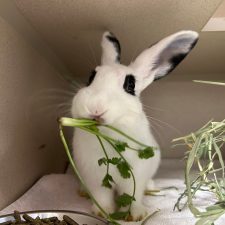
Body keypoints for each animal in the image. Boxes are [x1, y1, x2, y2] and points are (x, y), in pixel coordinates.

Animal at [71, 30, 199, 221]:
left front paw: (136, 215)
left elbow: (133, 195)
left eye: (130, 85)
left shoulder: (135, 176)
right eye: (90, 77)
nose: (95, 108)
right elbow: (102, 196)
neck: (108, 134)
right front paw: (103, 212)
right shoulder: (94, 176)